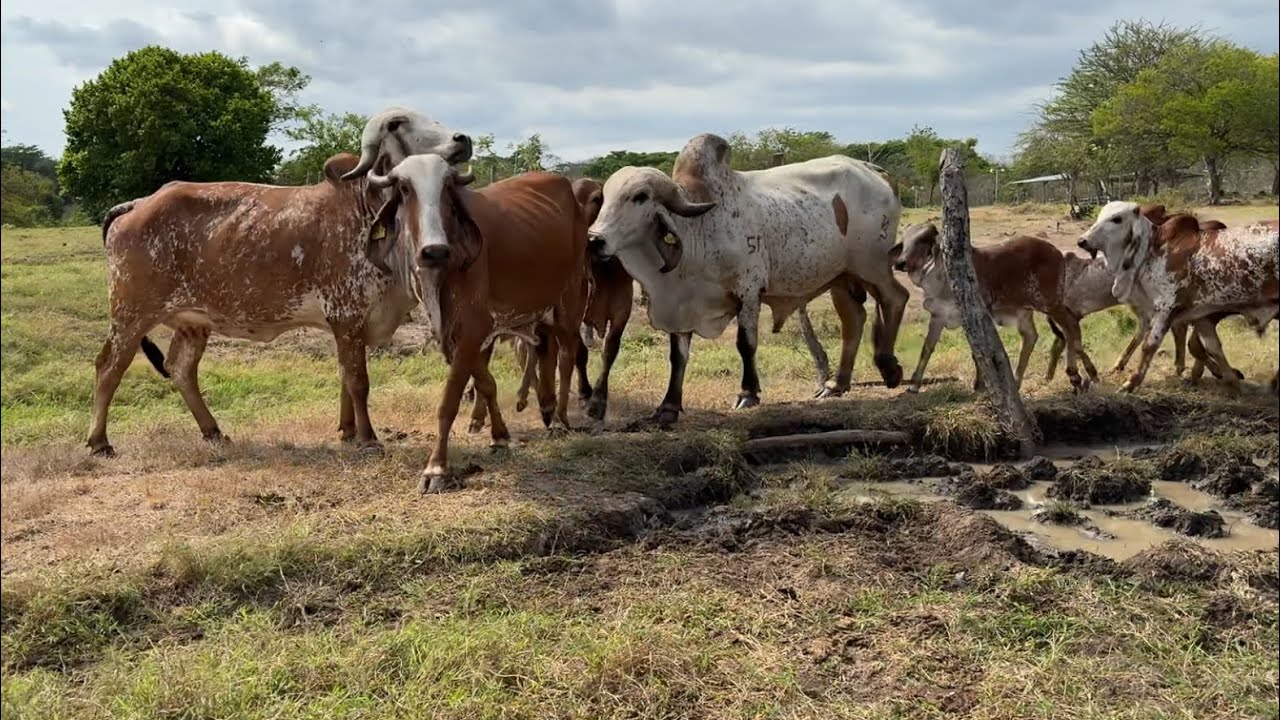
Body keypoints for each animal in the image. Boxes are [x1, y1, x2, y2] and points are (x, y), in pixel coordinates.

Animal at [86, 109, 473, 457]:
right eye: (397, 124)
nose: (462, 139)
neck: (367, 209)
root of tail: (139, 202)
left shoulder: (352, 324)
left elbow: (345, 378)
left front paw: (348, 432)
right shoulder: (347, 314)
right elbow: (358, 381)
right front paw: (368, 439)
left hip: (193, 322)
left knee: (181, 369)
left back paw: (213, 432)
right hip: (130, 314)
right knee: (109, 366)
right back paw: (99, 441)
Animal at [360, 154, 590, 491]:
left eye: (447, 187)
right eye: (404, 187)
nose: (434, 251)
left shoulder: (473, 327)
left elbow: (450, 399)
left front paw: (437, 469)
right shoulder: (455, 332)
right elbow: (486, 383)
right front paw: (499, 436)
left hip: (569, 301)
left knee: (567, 356)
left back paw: (560, 418)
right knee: (545, 349)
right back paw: (546, 409)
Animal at [586, 133, 909, 426]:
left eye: (639, 196)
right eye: (605, 197)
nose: (594, 239)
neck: (699, 231)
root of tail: (873, 169)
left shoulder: (749, 290)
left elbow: (745, 343)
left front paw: (748, 393)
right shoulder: (682, 306)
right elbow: (678, 357)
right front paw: (668, 407)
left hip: (873, 265)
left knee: (895, 298)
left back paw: (889, 367)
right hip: (841, 276)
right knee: (853, 319)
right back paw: (836, 385)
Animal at [890, 223, 1090, 394]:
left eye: (923, 239)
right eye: (904, 240)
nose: (900, 262)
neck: (942, 277)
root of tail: (1057, 252)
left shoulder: (976, 315)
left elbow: (978, 352)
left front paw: (980, 385)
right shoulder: (938, 316)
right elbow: (927, 349)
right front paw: (914, 385)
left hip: (1050, 303)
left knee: (1071, 327)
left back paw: (1076, 375)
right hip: (1025, 311)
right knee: (1031, 336)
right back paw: (1016, 382)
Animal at [1078, 202, 1279, 394]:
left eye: (1117, 219)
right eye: (1100, 215)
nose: (1082, 241)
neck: (1154, 249)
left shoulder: (1166, 307)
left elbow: (1150, 345)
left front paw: (1130, 383)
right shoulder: (1200, 315)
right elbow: (1211, 347)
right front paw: (1232, 383)